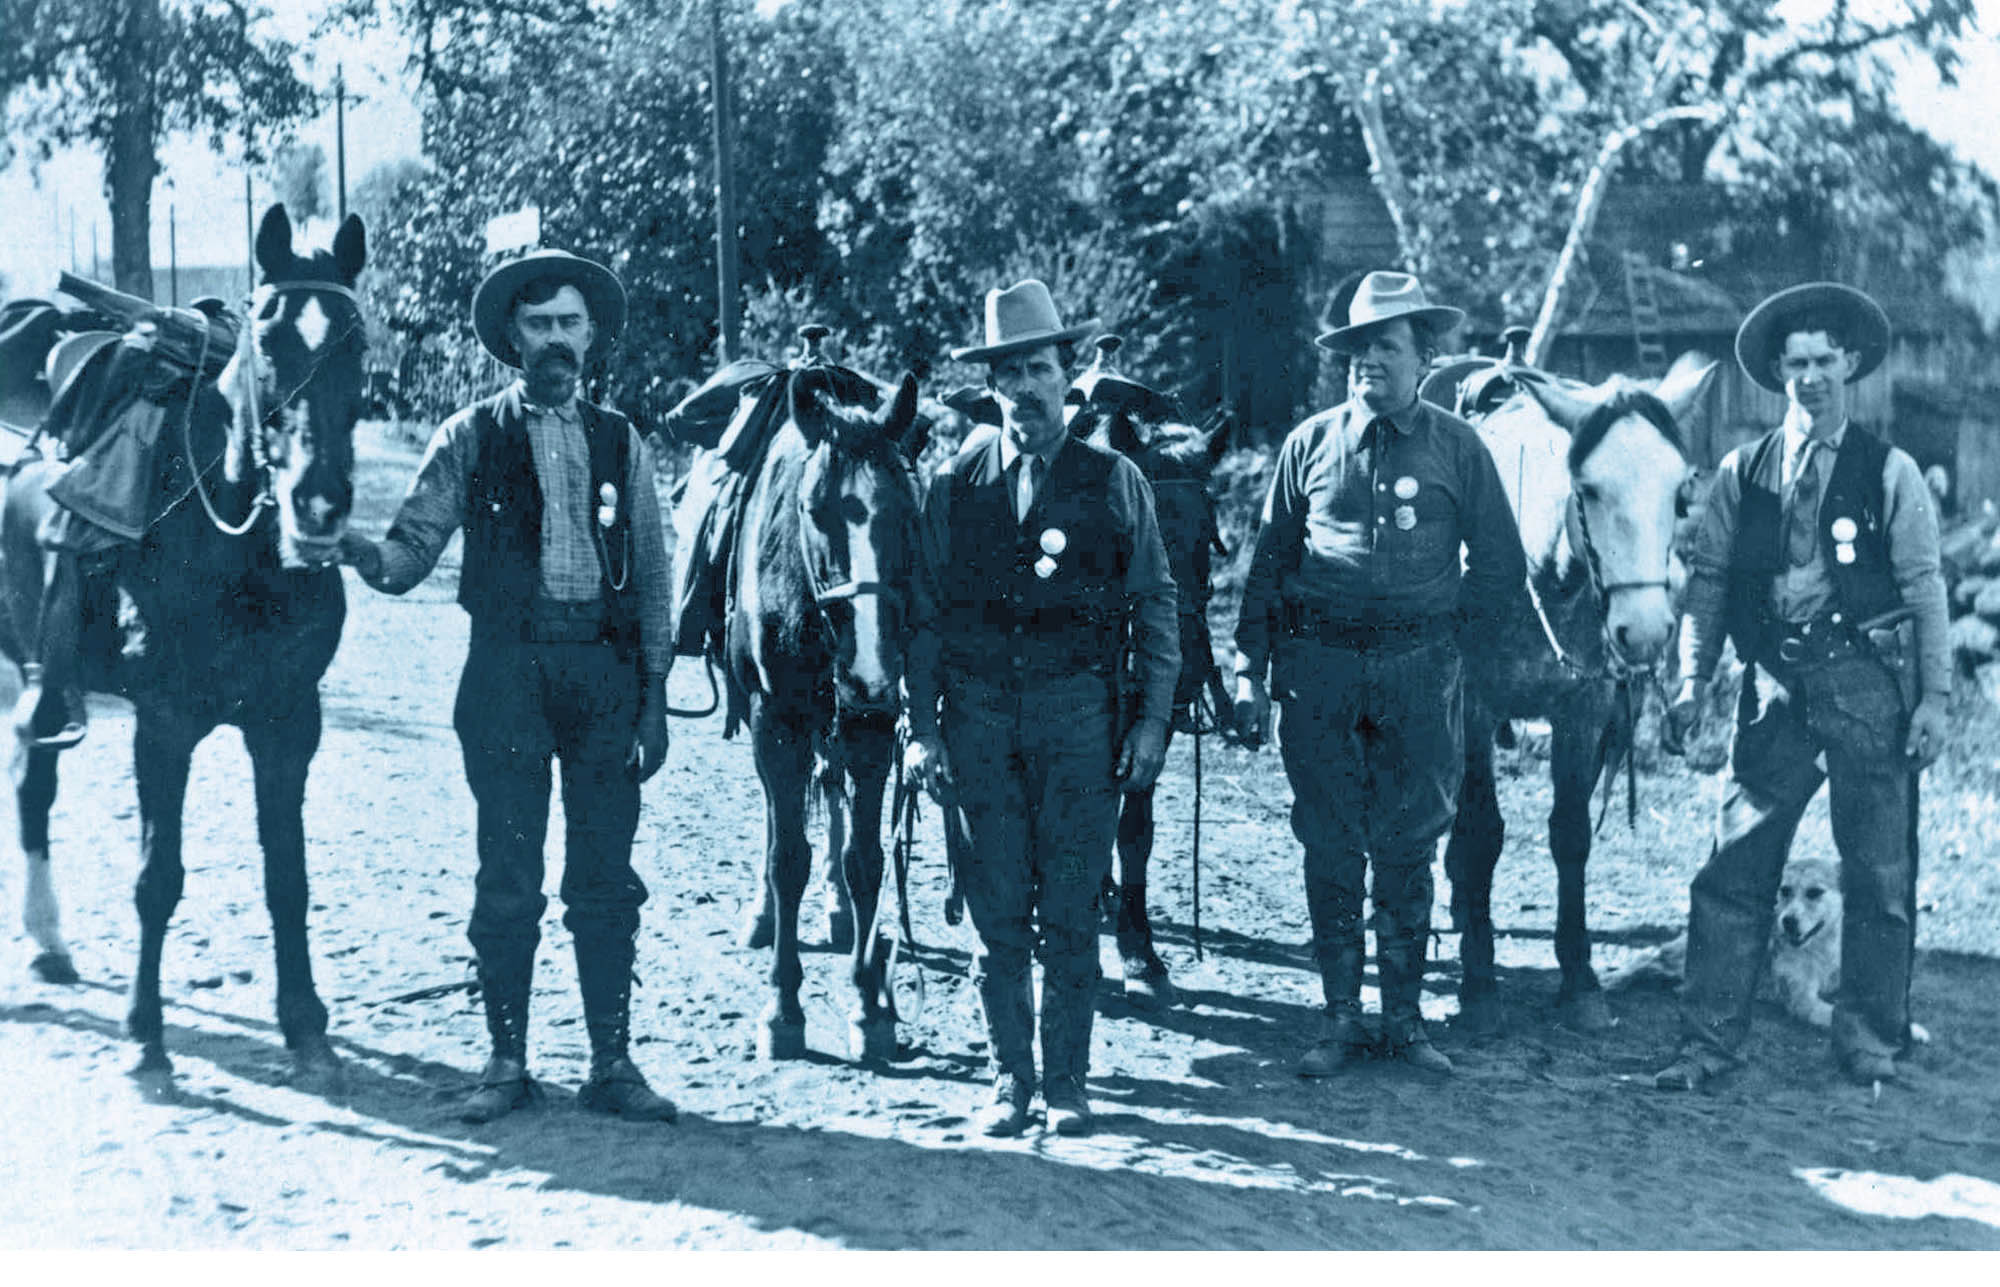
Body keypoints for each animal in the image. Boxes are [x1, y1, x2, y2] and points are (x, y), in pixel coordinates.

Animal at [1, 203, 370, 1087]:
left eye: (358, 343)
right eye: (268, 340)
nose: (318, 503)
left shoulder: (288, 722)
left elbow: (288, 877)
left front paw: (306, 1025)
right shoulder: (164, 723)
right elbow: (157, 878)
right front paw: (146, 1034)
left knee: (34, 776)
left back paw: (49, 942)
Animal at [1600, 855, 1928, 1047]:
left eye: (1814, 893)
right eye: (1784, 891)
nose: (1788, 921)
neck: (1819, 946)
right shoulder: (1803, 1001)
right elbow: (1835, 1012)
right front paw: (1909, 1032)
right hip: (1676, 957)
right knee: (1646, 958)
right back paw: (1613, 980)